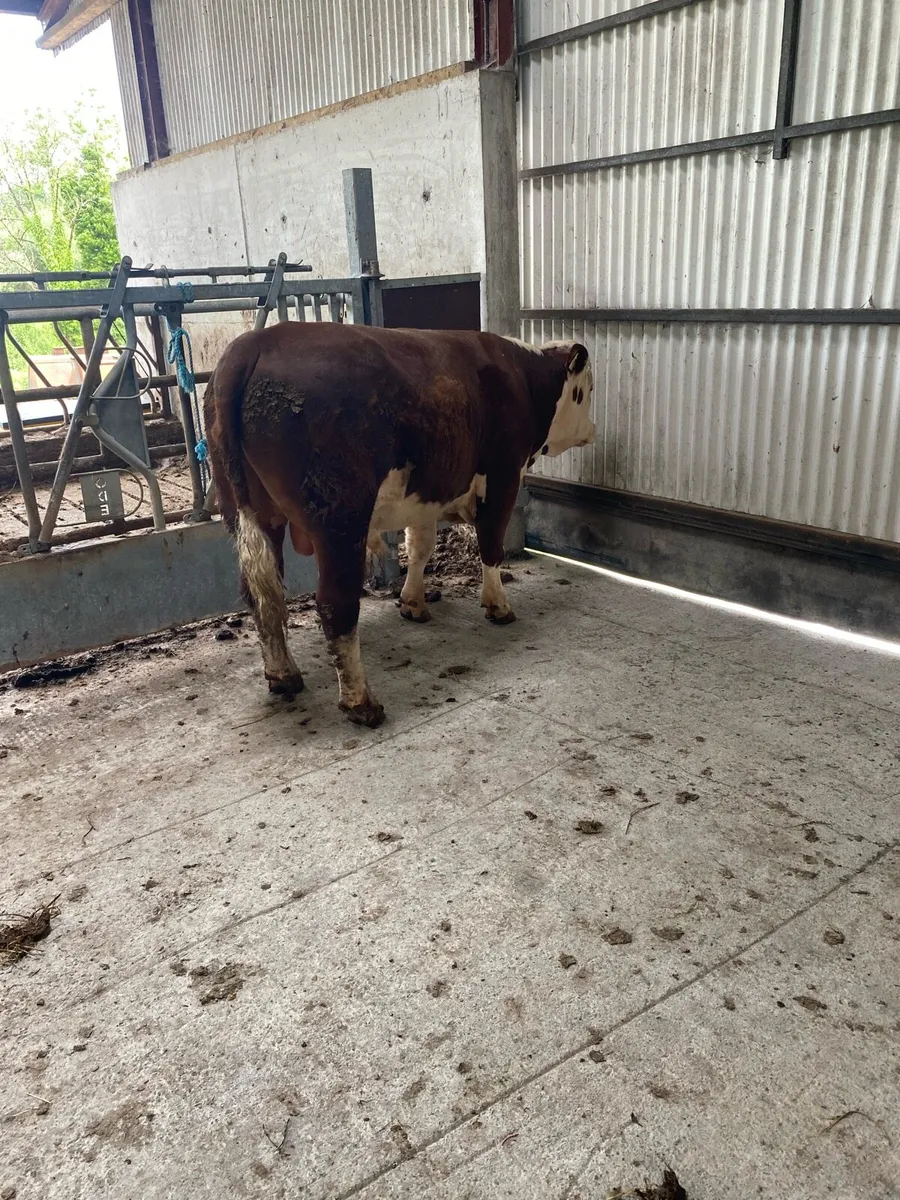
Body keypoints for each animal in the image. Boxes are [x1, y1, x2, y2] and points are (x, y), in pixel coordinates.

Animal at [204, 323, 594, 728]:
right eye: (589, 390)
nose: (593, 430)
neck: (522, 376)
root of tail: (255, 342)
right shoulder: (502, 478)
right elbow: (491, 547)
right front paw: (497, 605)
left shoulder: (426, 495)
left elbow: (420, 548)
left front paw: (413, 602)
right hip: (340, 522)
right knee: (334, 603)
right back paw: (360, 702)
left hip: (251, 513)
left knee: (261, 595)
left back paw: (283, 675)